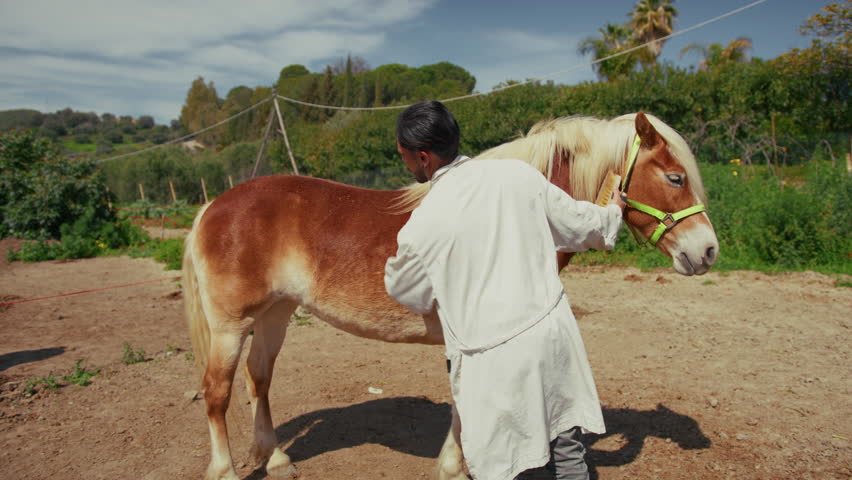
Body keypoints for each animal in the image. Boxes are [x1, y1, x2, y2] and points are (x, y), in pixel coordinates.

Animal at [182, 111, 719, 480]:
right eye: (675, 177)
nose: (708, 250)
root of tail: (215, 205)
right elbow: (464, 405)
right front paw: (455, 467)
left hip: (275, 315)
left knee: (259, 381)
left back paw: (275, 459)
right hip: (231, 327)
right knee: (217, 393)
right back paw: (226, 470)